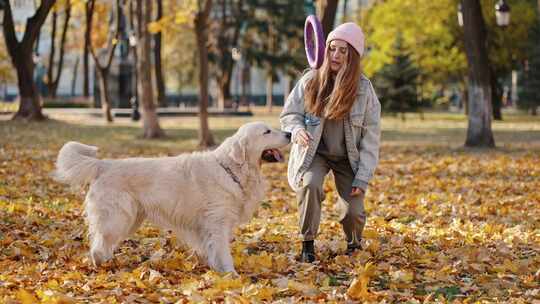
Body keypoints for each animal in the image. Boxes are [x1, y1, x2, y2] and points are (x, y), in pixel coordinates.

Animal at [53, 121, 292, 274]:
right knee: (98, 244)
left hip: (131, 219)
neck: (230, 168)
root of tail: (103, 164)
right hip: (117, 217)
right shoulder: (217, 222)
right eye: (267, 131)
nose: (289, 134)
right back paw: (101, 266)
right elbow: (223, 251)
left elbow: (210, 250)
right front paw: (230, 274)